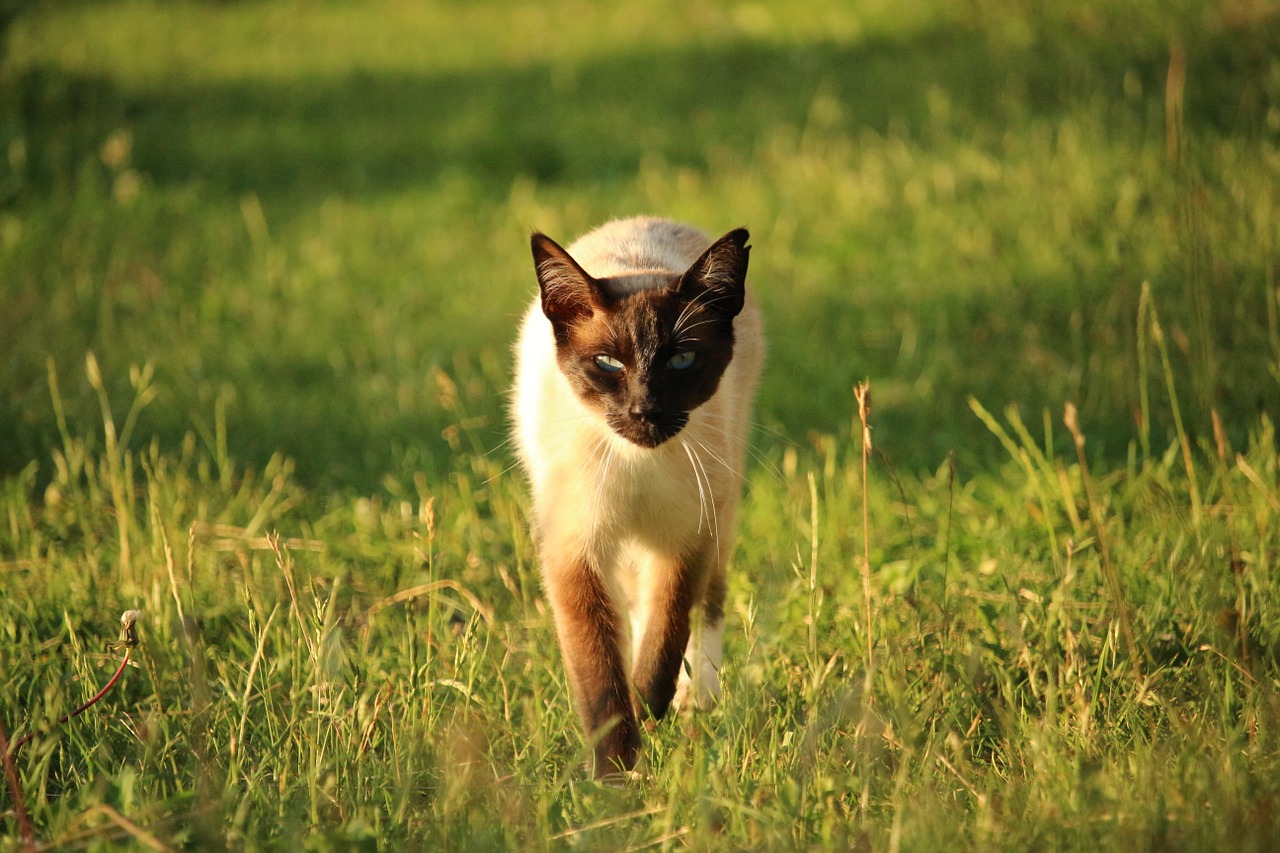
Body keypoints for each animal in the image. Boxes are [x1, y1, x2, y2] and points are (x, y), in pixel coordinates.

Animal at [514, 216, 762, 773]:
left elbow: (667, 631)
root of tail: (645, 221)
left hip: (720, 511)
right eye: (608, 363)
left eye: (682, 360)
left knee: (705, 606)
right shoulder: (576, 553)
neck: (638, 465)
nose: (645, 412)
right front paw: (617, 778)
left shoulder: (685, 538)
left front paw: (651, 707)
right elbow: (602, 681)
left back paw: (698, 703)